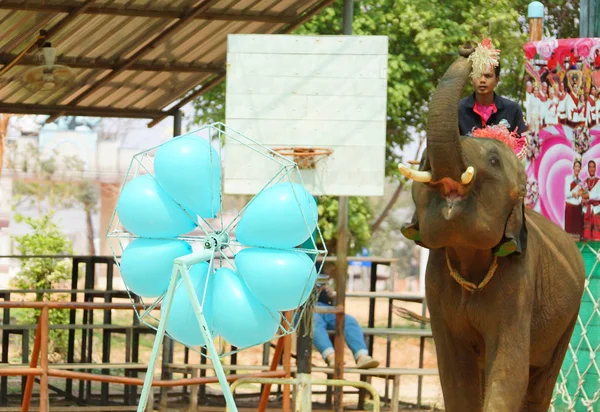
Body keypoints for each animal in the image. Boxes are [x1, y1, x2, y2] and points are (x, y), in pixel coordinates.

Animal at [398, 43, 584, 410]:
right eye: (424, 160)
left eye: (494, 161)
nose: (469, 48)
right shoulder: (436, 286)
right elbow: (455, 375)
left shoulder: (520, 283)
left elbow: (510, 372)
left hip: (568, 316)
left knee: (539, 383)